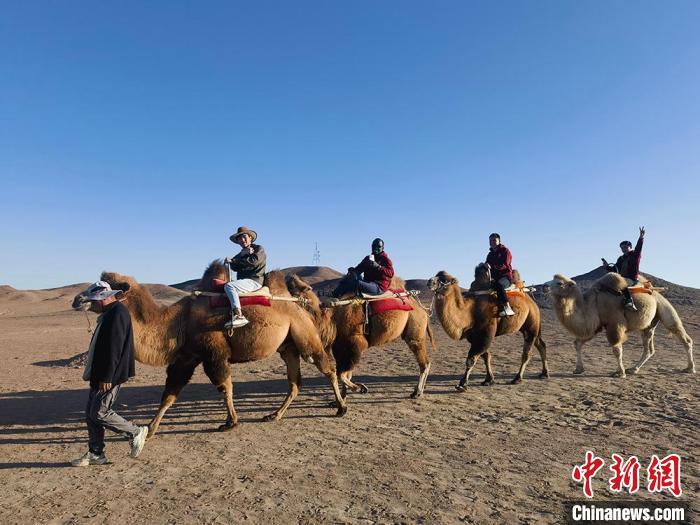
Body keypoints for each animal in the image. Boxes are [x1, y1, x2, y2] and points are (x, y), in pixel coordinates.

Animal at [72, 261, 347, 438]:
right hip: (287, 345)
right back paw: (274, 415)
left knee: (327, 367)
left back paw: (341, 408)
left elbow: (225, 387)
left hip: (304, 334)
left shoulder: (215, 355)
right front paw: (150, 429)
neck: (177, 322)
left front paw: (230, 422)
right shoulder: (185, 359)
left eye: (102, 287)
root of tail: (302, 302)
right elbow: (168, 395)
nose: (77, 299)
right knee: (295, 382)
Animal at [285, 274, 435, 399]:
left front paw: (360, 388)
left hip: (415, 332)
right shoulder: (340, 347)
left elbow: (342, 374)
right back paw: (418, 391)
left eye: (292, 289)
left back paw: (417, 392)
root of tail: (422, 309)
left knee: (424, 362)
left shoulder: (354, 343)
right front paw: (343, 397)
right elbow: (344, 373)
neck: (331, 319)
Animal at [543, 273, 695, 377]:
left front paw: (620, 373)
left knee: (684, 337)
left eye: (559, 283)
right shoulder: (596, 326)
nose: (544, 286)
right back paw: (633, 369)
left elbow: (616, 349)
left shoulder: (615, 324)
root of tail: (655, 291)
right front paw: (578, 369)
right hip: (649, 324)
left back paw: (690, 368)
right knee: (649, 348)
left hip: (665, 308)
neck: (593, 303)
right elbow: (577, 343)